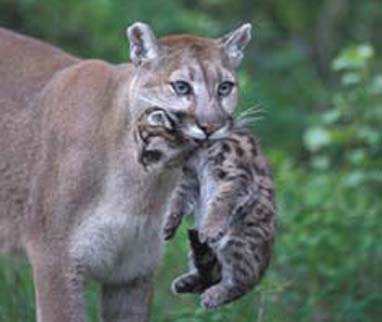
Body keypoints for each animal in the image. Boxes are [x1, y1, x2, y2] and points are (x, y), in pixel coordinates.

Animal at [163, 127, 276, 308]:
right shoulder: (191, 177)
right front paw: (169, 222)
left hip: (235, 243)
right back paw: (187, 282)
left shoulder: (237, 175)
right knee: (210, 273)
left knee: (243, 279)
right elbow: (178, 197)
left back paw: (217, 294)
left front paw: (211, 228)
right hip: (198, 246)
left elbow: (222, 200)